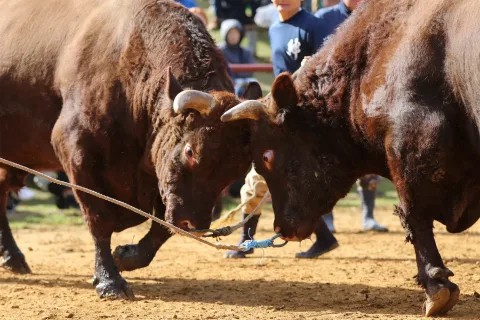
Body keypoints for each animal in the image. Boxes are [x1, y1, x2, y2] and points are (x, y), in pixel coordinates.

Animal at [0, 0, 262, 298]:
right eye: (190, 151)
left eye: (236, 170)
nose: (194, 225)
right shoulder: (78, 153)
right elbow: (100, 218)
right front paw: (109, 280)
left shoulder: (158, 180)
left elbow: (162, 228)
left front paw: (126, 256)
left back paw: (13, 257)